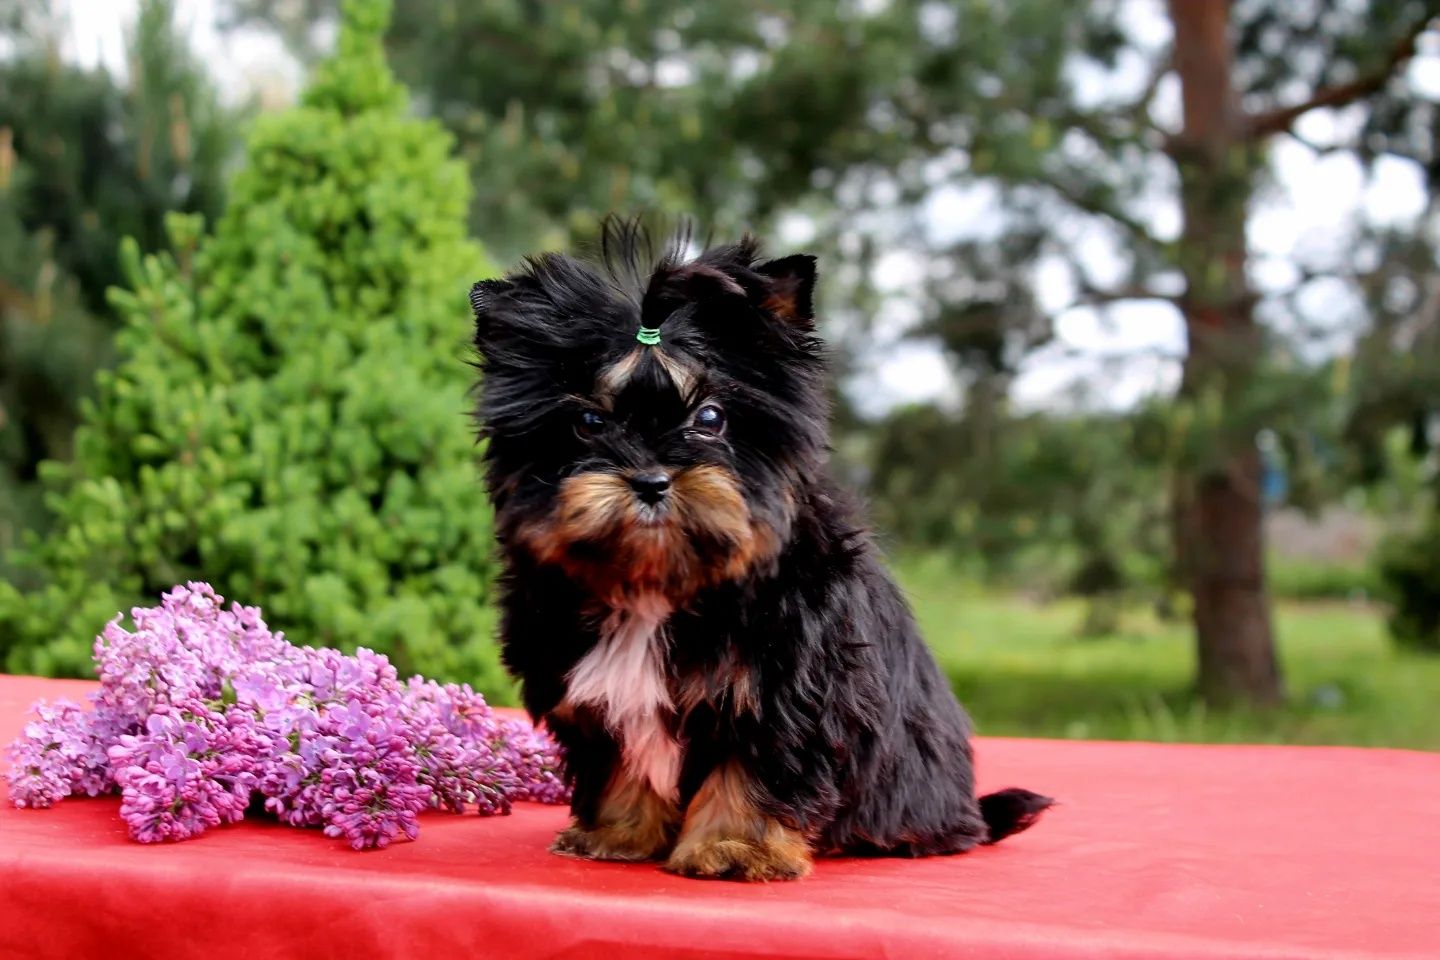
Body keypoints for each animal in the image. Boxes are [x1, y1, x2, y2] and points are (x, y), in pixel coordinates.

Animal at [469, 220, 1048, 880]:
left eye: (710, 417)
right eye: (590, 422)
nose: (651, 480)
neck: (657, 584)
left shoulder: (789, 686)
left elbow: (755, 765)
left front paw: (732, 847)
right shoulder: (586, 689)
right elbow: (619, 757)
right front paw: (619, 832)